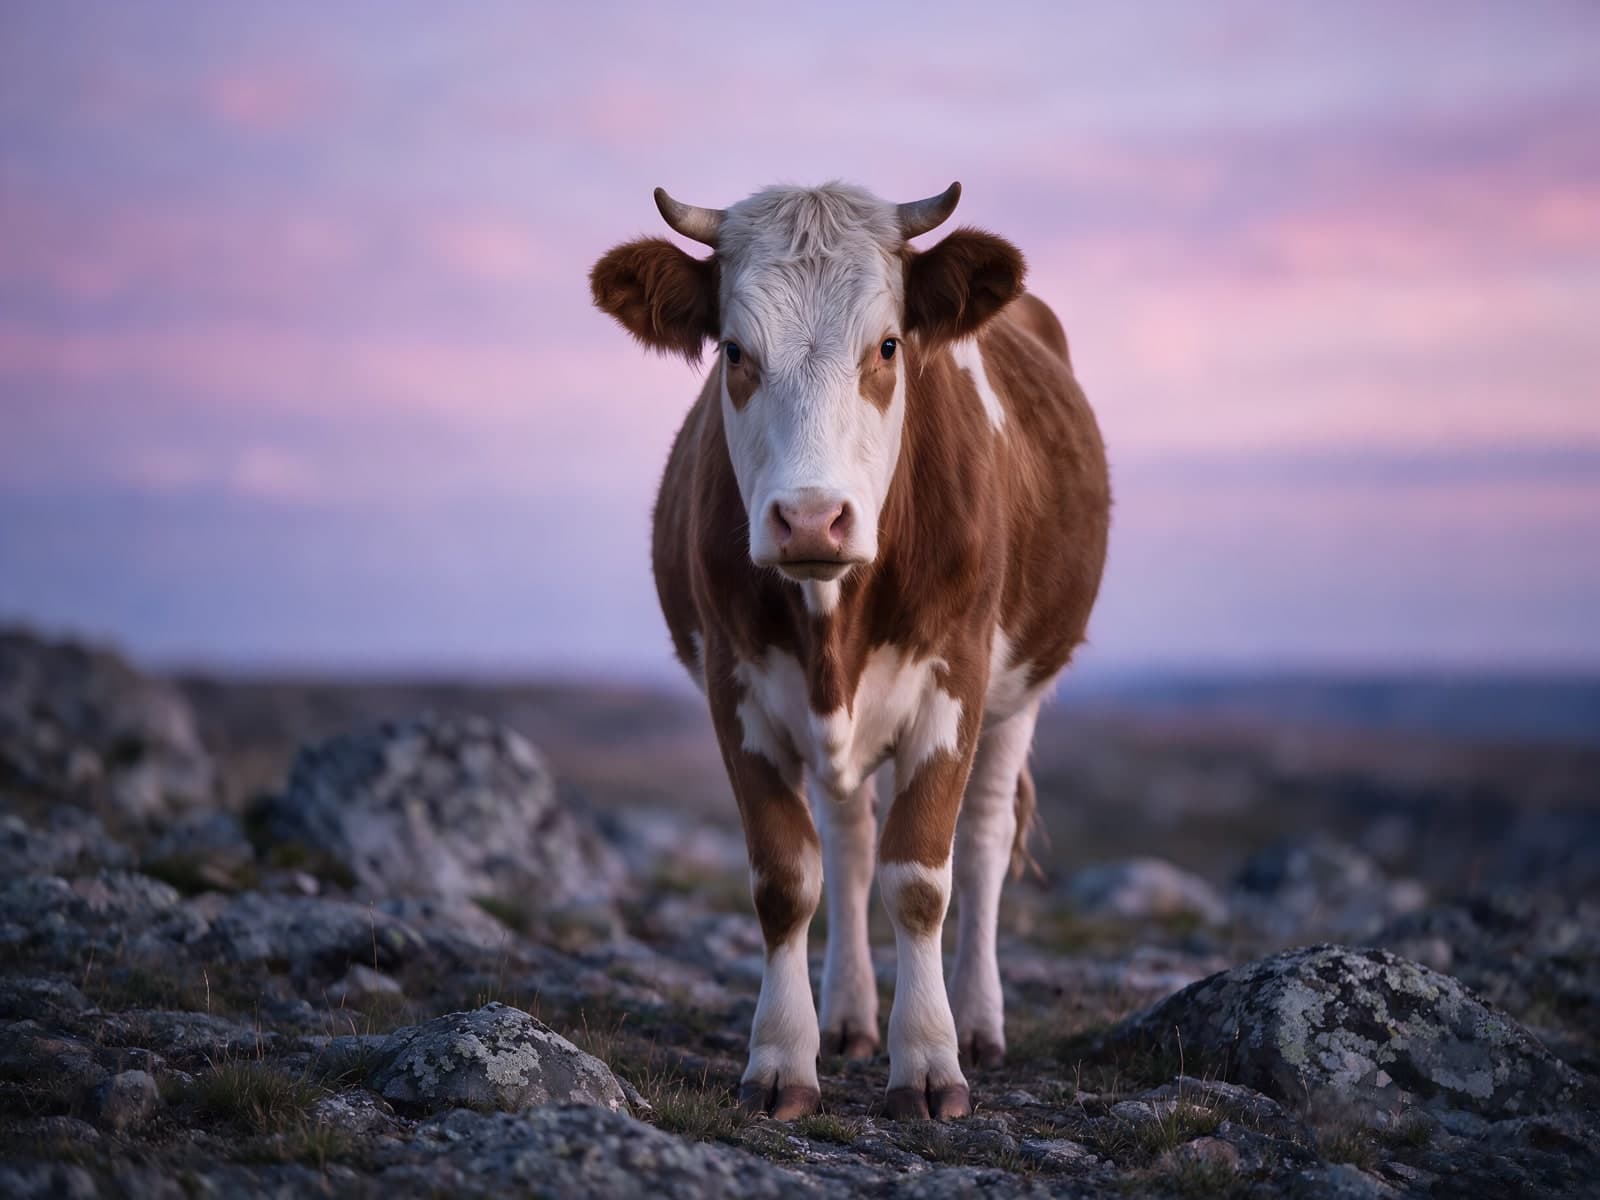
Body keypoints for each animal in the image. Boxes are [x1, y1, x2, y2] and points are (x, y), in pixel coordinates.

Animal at [590, 181, 1109, 1121]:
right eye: (734, 350)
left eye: (889, 345)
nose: (809, 519)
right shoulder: (735, 688)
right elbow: (788, 877)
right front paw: (783, 1058)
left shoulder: (956, 680)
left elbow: (922, 877)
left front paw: (932, 1062)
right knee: (850, 837)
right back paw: (849, 1017)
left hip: (1021, 691)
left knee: (982, 841)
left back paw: (980, 1022)